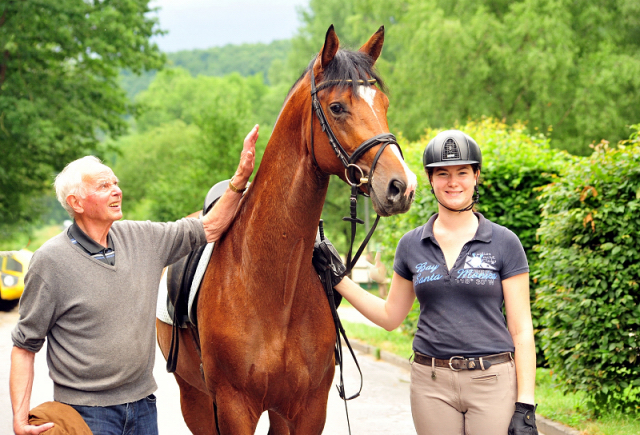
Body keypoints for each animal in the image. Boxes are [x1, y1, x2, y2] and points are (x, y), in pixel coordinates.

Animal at [158, 25, 418, 434]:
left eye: (384, 104)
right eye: (337, 107)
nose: (400, 186)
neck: (271, 284)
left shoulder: (307, 408)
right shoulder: (233, 407)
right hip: (195, 398)